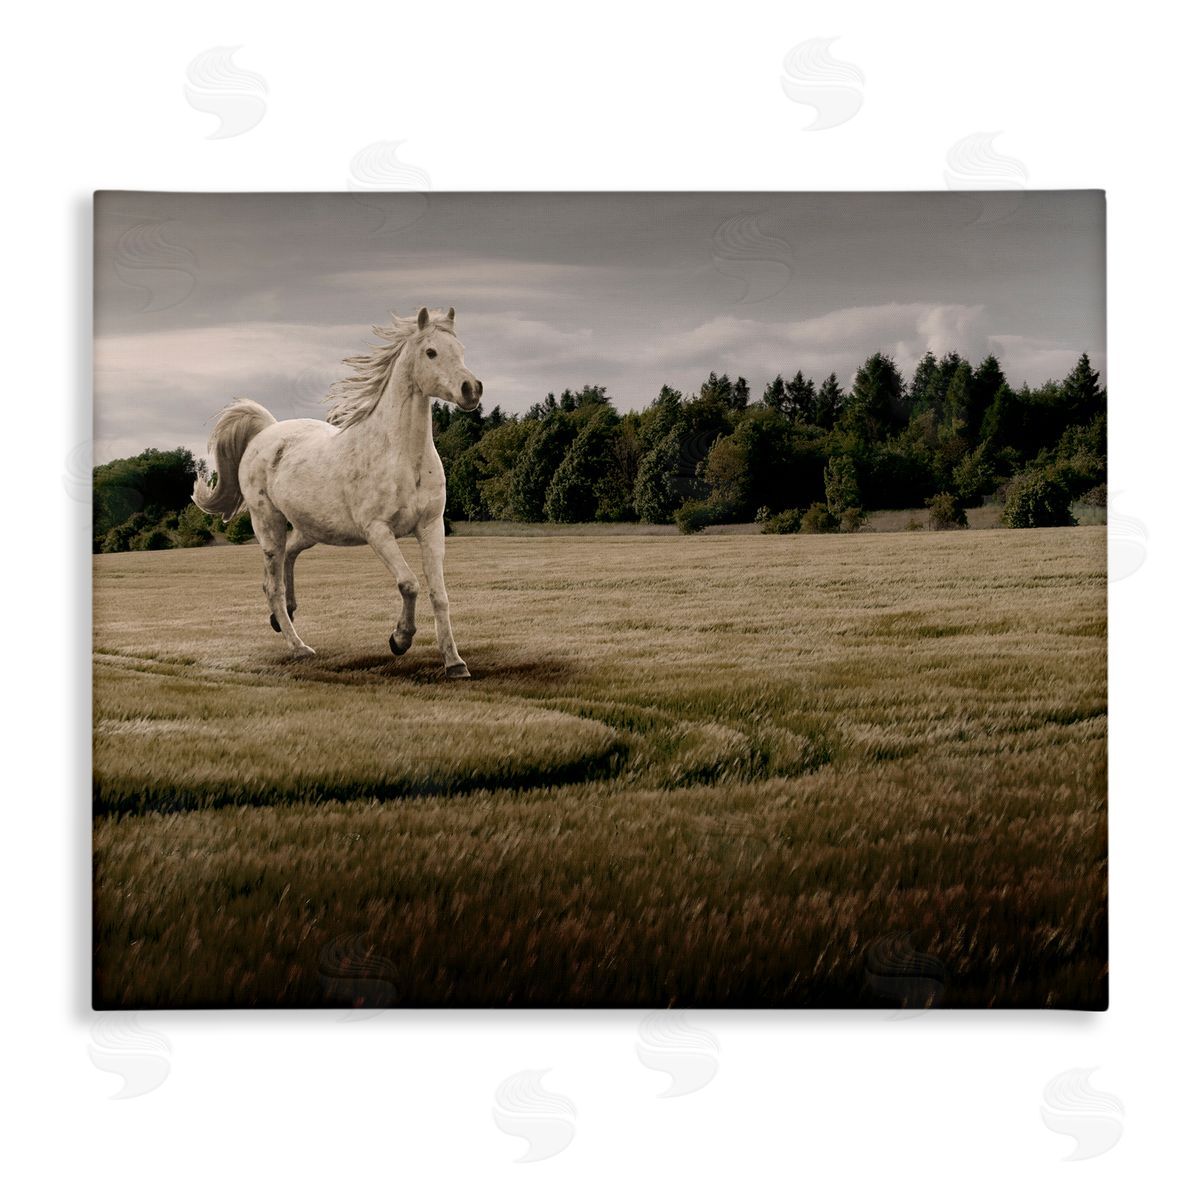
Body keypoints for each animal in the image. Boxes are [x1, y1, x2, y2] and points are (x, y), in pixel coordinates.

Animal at [192, 306, 483, 677]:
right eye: (431, 352)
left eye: (460, 350)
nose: (471, 389)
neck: (402, 455)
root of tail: (266, 432)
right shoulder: (378, 531)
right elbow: (409, 583)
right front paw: (399, 640)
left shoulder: (431, 527)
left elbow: (439, 594)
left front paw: (455, 663)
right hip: (268, 524)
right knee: (273, 583)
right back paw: (299, 645)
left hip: (312, 529)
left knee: (288, 558)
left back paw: (284, 614)